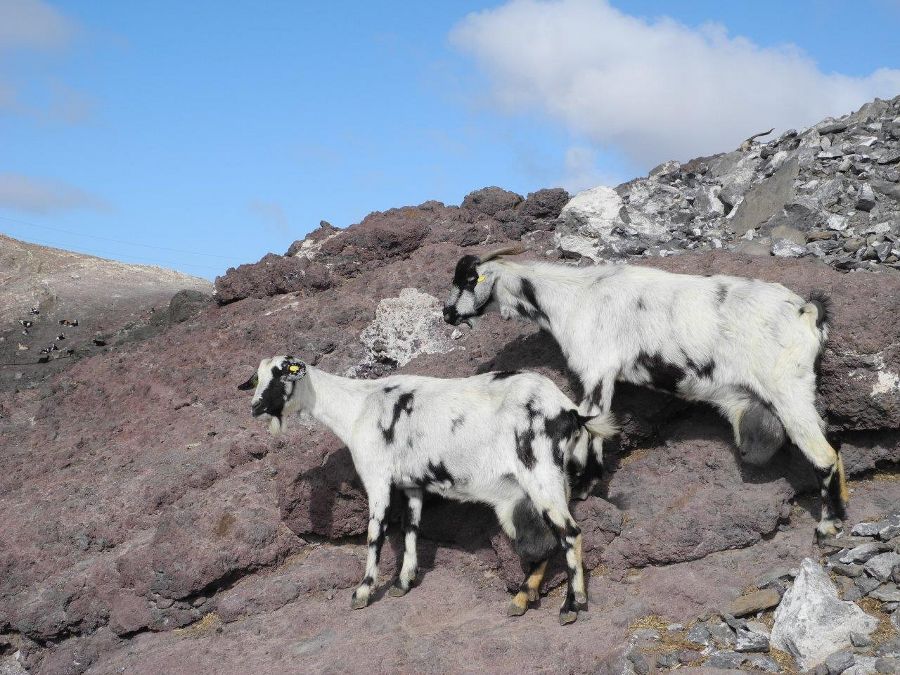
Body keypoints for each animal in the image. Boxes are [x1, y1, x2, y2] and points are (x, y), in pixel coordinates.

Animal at [239, 356, 620, 624]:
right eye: (257, 377)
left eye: (282, 374)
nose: (255, 407)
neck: (359, 406)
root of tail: (570, 411)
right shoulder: (412, 485)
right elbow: (410, 529)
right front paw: (403, 583)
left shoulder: (377, 477)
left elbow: (375, 534)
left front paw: (363, 591)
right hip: (536, 488)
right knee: (543, 540)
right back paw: (522, 599)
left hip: (541, 474)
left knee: (569, 533)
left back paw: (572, 606)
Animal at [444, 248, 852, 540]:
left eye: (468, 280)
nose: (447, 314)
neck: (573, 296)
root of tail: (807, 311)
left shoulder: (597, 371)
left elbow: (591, 433)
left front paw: (583, 489)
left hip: (788, 389)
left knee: (823, 455)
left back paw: (828, 526)